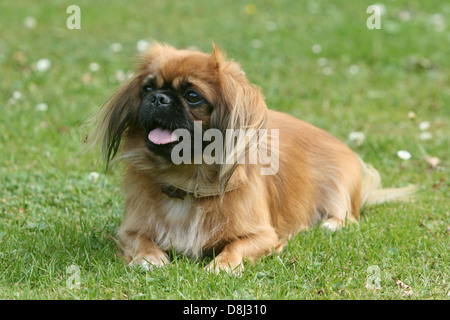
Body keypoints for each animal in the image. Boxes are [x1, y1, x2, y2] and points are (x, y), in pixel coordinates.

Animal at [89, 42, 416, 272]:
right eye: (147, 88)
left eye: (193, 96)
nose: (159, 98)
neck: (187, 179)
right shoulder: (129, 230)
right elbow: (140, 241)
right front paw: (149, 258)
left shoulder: (264, 236)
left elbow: (235, 248)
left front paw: (221, 266)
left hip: (340, 186)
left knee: (349, 216)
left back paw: (331, 224)